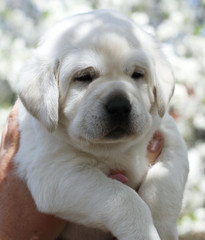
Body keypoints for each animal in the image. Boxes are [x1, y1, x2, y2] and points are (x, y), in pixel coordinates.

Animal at [15, 9, 190, 240]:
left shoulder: (170, 138)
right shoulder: (57, 173)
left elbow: (163, 184)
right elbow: (124, 198)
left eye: (137, 74)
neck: (116, 148)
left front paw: (163, 228)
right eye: (83, 77)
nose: (119, 106)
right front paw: (143, 232)